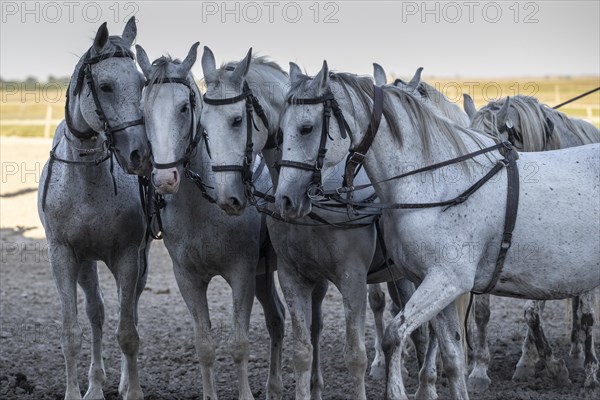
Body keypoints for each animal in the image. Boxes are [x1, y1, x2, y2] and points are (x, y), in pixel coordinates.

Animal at [37, 18, 152, 400]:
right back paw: (96, 385)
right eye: (105, 86)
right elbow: (72, 333)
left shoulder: (129, 255)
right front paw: (77, 392)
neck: (88, 180)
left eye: (142, 83)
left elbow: (128, 332)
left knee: (128, 312)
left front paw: (133, 391)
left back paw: (122, 381)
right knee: (97, 313)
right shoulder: (63, 256)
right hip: (86, 262)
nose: (141, 154)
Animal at [136, 43, 286, 400]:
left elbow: (239, 344)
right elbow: (204, 346)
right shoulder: (187, 279)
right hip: (264, 274)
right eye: (143, 111)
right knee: (277, 320)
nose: (164, 179)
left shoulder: (242, 273)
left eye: (183, 107)